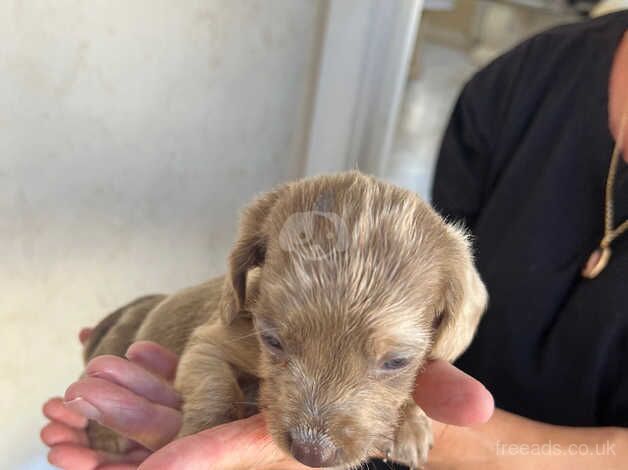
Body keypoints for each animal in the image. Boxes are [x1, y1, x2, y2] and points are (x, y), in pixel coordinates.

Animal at [82, 171, 486, 468]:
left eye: (397, 361)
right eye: (272, 341)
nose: (312, 453)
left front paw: (410, 424)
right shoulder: (211, 340)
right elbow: (214, 386)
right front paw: (205, 424)